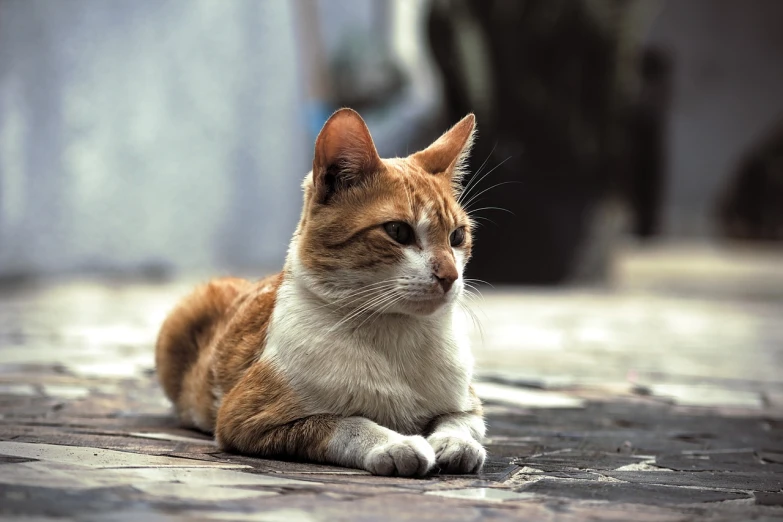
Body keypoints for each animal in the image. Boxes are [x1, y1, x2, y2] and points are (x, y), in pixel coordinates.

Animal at [155, 107, 484, 474]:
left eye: (457, 236)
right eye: (398, 231)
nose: (450, 275)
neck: (396, 337)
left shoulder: (470, 403)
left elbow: (459, 420)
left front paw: (455, 443)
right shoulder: (244, 418)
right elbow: (346, 422)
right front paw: (395, 443)